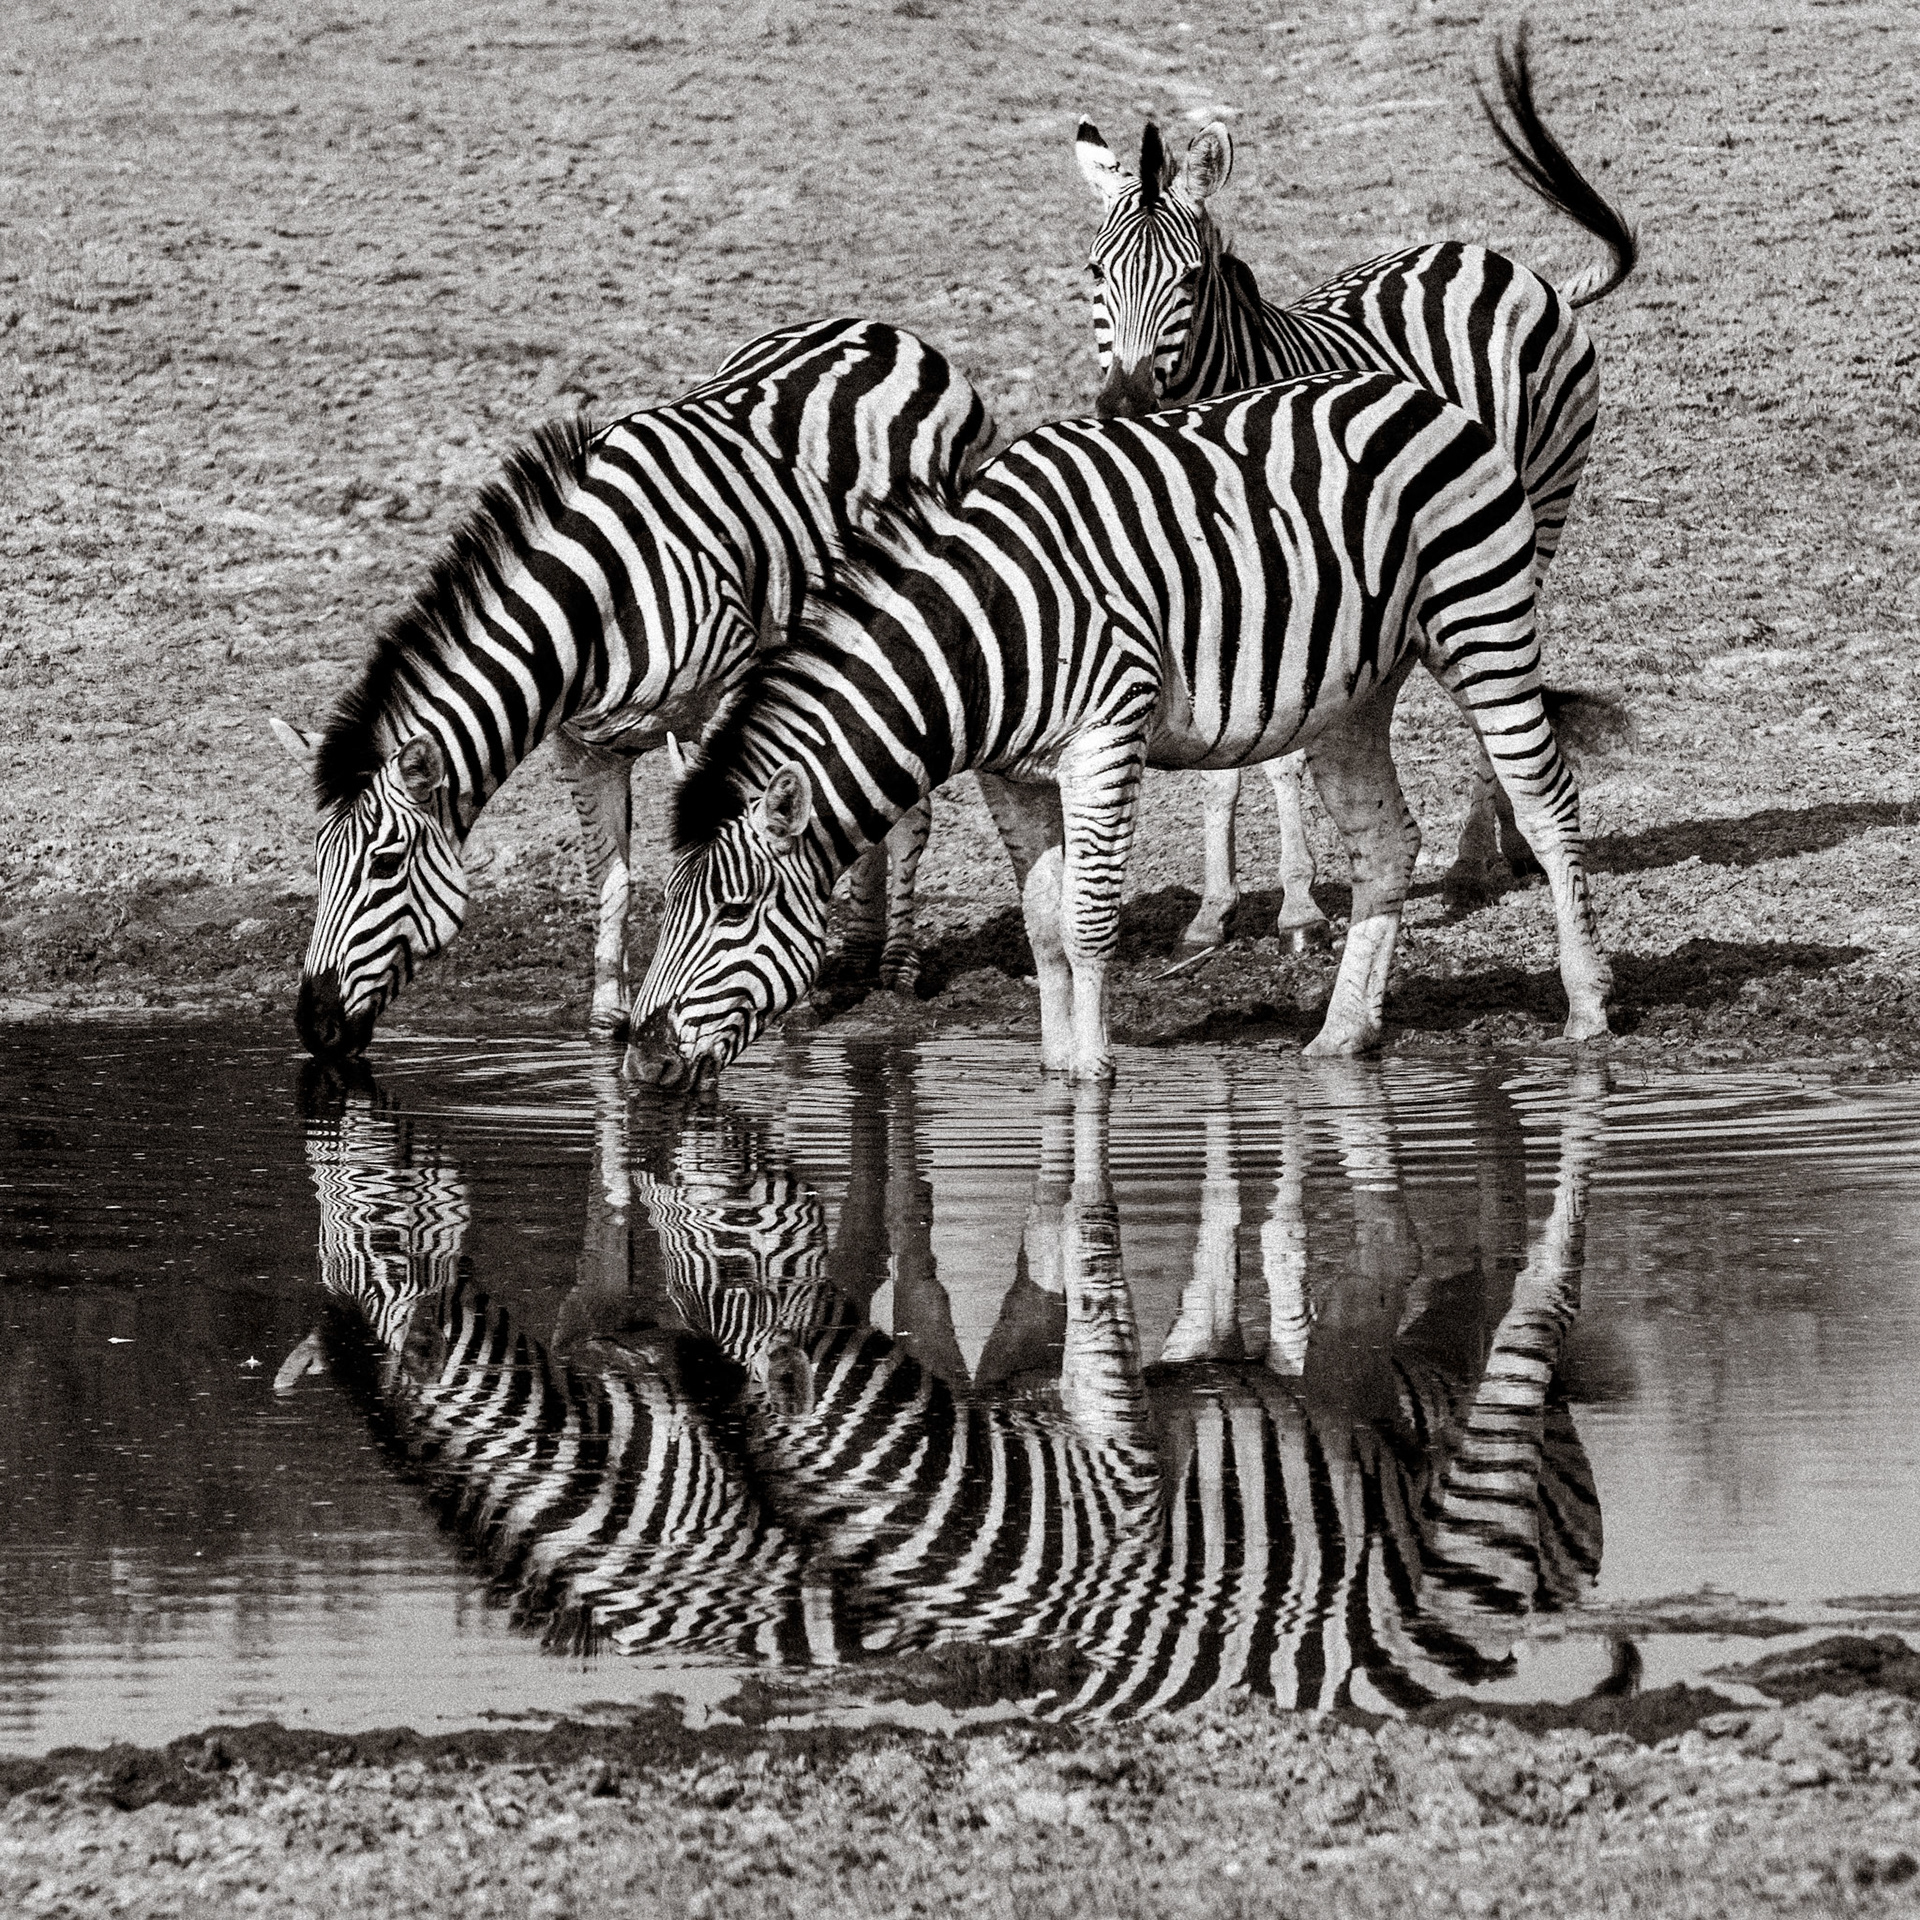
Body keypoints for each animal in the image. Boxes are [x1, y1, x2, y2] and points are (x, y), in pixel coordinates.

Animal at [268, 316, 994, 1058]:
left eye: (385, 867)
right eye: (317, 864)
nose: (314, 1026)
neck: (594, 607)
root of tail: (883, 330)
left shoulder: (722, 706)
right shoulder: (583, 746)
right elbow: (608, 881)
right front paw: (605, 1023)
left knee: (912, 812)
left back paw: (897, 964)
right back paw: (856, 957)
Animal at [628, 370, 1612, 1089]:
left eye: (732, 912)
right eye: (665, 908)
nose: (641, 1062)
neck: (984, 639)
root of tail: (1423, 396)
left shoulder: (1105, 739)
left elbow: (1090, 921)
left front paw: (1095, 1070)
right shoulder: (1011, 776)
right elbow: (1043, 925)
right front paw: (1055, 1065)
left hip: (1481, 618)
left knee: (1546, 803)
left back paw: (1587, 1009)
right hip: (1352, 690)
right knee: (1386, 843)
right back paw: (1343, 1035)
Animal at [1075, 24, 1636, 953]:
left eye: (1188, 280)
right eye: (1095, 273)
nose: (1121, 402)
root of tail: (1504, 262)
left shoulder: (1283, 584)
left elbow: (1279, 749)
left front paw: (1300, 907)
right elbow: (1224, 756)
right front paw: (1213, 909)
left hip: (1537, 508)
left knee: (1501, 684)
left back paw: (1479, 856)